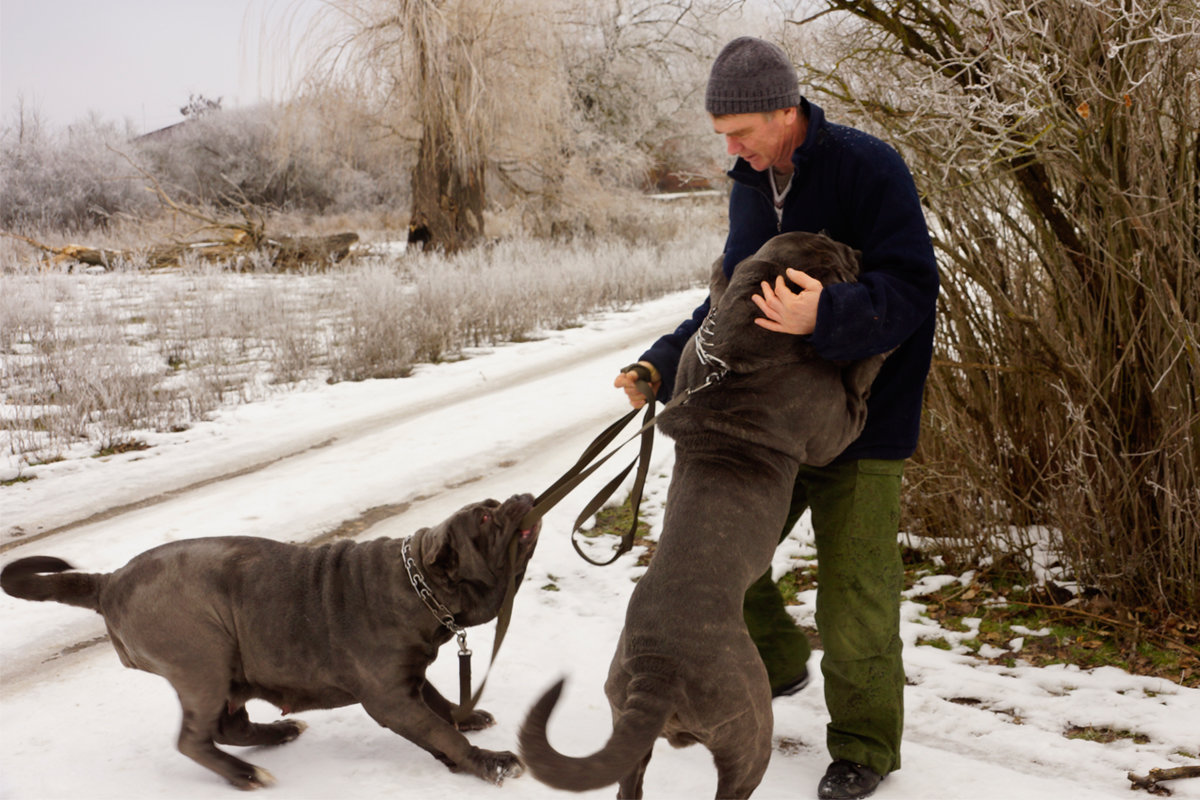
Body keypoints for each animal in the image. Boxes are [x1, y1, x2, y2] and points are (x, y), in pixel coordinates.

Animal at [1, 494, 540, 786]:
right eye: (486, 520)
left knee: (228, 727)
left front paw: (467, 717)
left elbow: (440, 705)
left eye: (493, 508)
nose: (519, 497)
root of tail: (108, 581)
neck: (419, 586)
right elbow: (438, 731)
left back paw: (277, 734)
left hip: (229, 670)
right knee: (194, 739)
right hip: (204, 659)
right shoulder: (390, 697)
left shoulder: (409, 677)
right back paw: (245, 775)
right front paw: (488, 763)